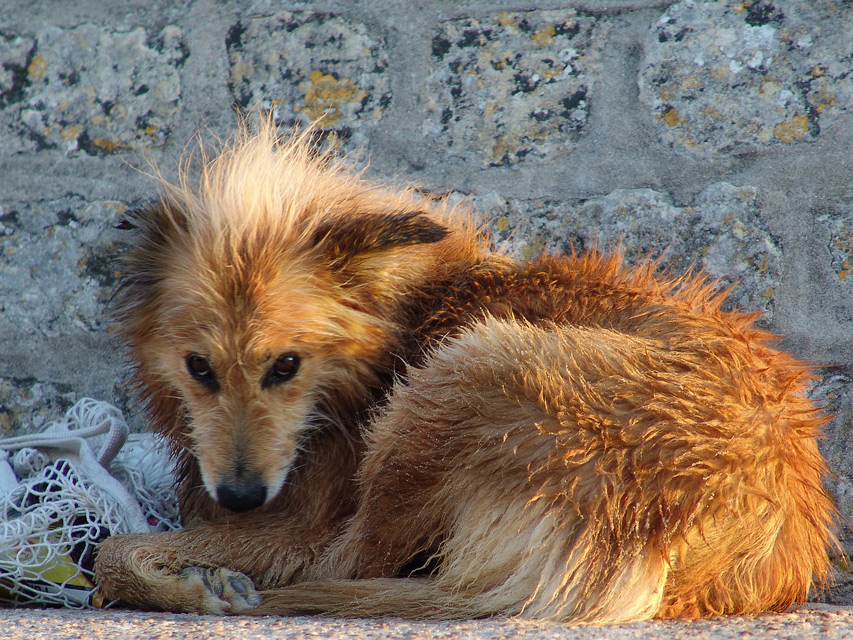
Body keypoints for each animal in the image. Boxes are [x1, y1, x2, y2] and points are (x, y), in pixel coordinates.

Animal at [93, 122, 832, 624]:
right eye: (198, 368)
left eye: (286, 364)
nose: (241, 496)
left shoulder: (303, 519)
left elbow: (117, 549)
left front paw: (184, 576)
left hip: (456, 373)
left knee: (342, 562)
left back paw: (215, 583)